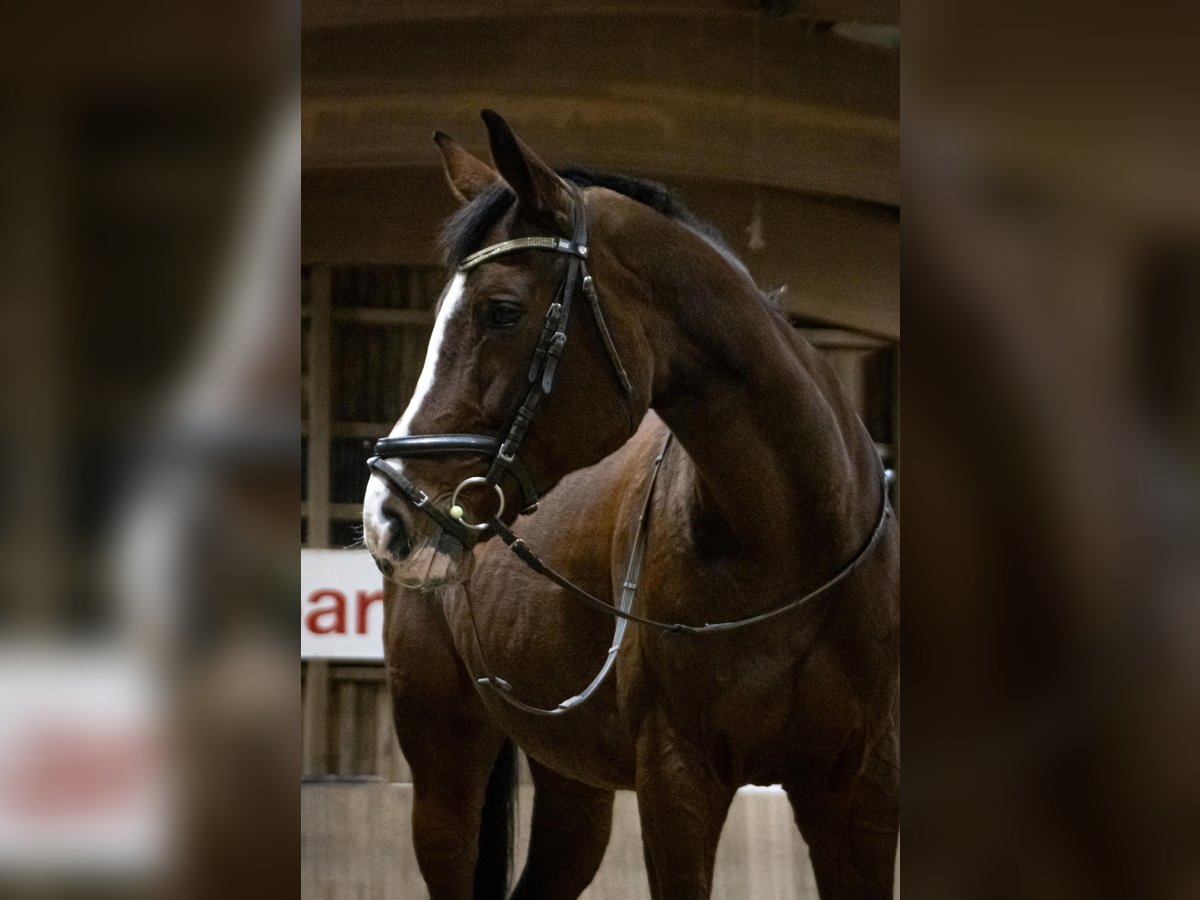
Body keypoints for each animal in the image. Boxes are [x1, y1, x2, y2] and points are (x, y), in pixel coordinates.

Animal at [361, 110, 899, 899]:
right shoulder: (677, 784)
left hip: (573, 784)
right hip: (444, 772)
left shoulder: (859, 795)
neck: (793, 543)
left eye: (501, 311)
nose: (386, 517)